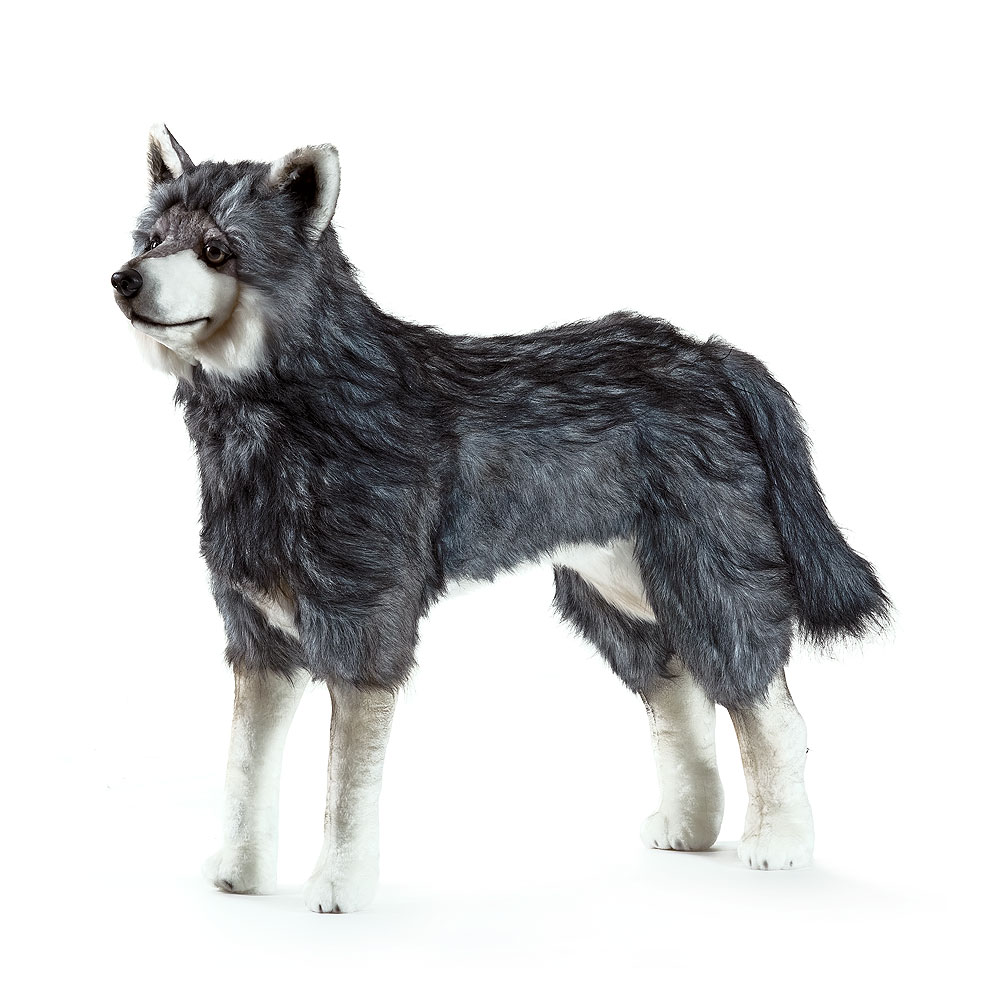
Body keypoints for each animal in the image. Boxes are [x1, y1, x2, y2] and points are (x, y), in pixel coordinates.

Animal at [111, 125, 889, 913]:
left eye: (217, 248)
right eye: (151, 239)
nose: (124, 279)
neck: (285, 416)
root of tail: (711, 357)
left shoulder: (363, 625)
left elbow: (345, 783)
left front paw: (339, 885)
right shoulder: (259, 635)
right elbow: (244, 764)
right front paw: (240, 873)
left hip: (709, 577)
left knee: (770, 710)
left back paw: (780, 841)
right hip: (620, 591)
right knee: (680, 694)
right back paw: (690, 827)